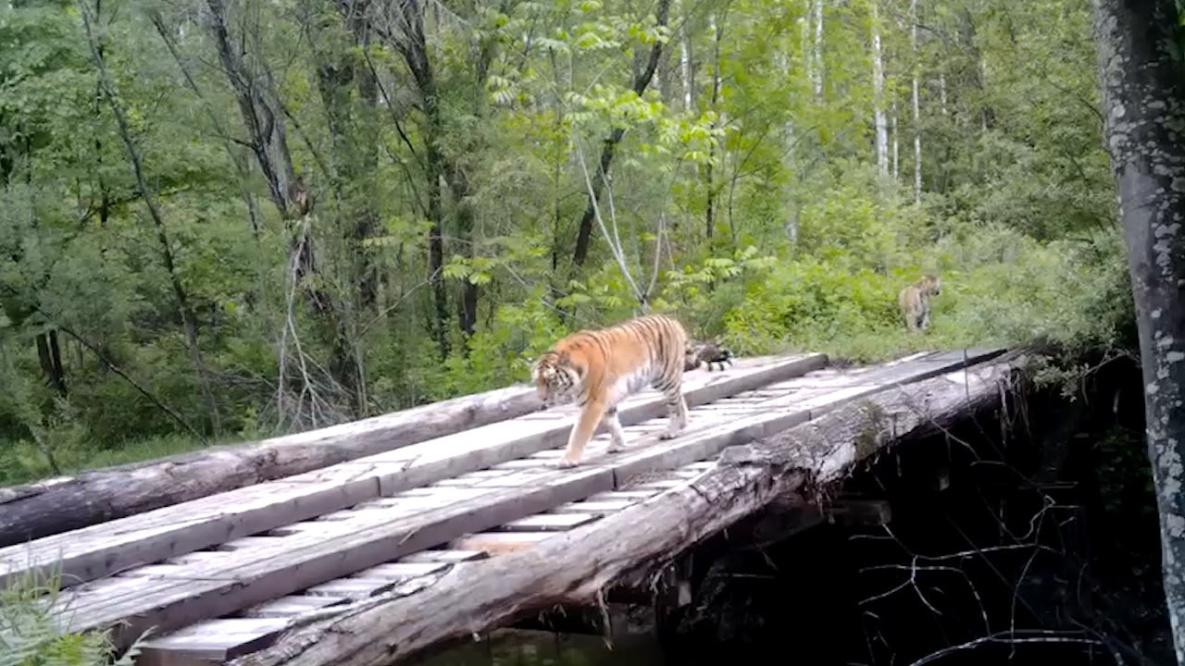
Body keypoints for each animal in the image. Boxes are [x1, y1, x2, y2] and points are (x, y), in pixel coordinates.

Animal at [530, 310, 692, 466]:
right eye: (537, 382)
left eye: (550, 381)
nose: (542, 398)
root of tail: (673, 321)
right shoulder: (606, 400)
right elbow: (613, 424)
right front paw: (618, 445)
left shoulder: (593, 402)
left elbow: (579, 432)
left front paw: (568, 460)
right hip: (664, 379)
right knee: (679, 394)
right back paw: (683, 423)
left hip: (665, 377)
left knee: (674, 406)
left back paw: (671, 431)